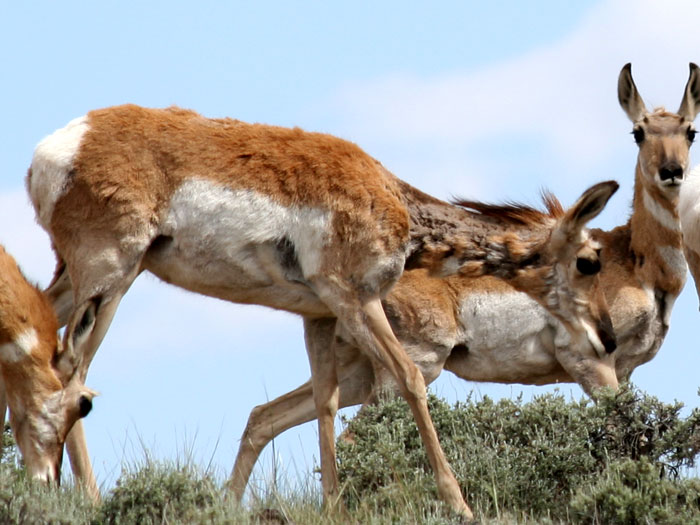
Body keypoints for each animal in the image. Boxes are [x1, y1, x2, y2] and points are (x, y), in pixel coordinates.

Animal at [27, 103, 616, 516]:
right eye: (590, 261)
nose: (608, 338)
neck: (395, 201)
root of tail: (59, 147)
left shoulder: (319, 316)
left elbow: (325, 402)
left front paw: (334, 506)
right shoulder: (355, 300)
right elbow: (409, 380)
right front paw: (461, 505)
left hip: (78, 280)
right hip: (113, 277)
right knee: (72, 372)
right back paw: (90, 500)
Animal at [230, 63, 700, 498]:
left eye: (690, 130)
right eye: (638, 132)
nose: (671, 171)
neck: (637, 259)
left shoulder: (625, 371)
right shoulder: (591, 363)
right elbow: (626, 439)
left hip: (357, 371)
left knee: (264, 417)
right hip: (410, 368)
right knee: (351, 438)